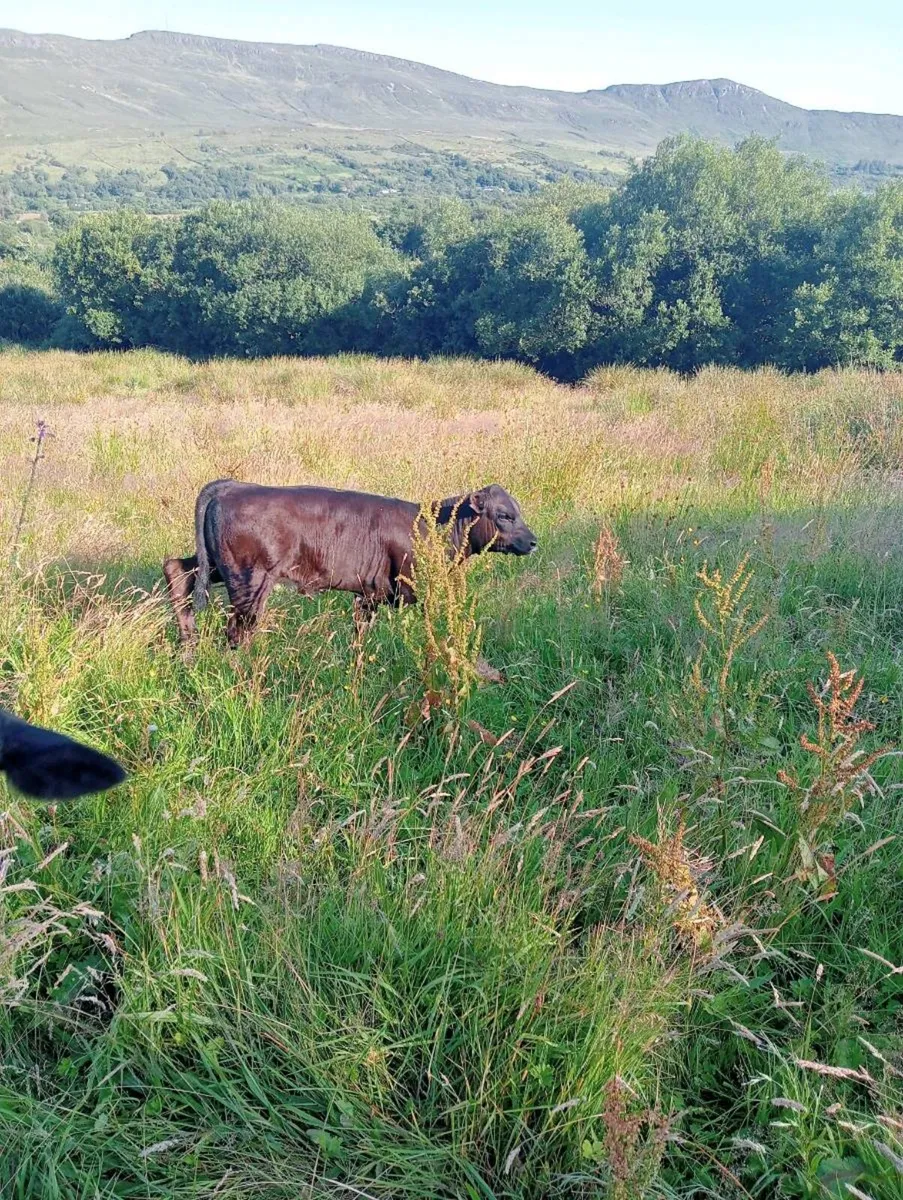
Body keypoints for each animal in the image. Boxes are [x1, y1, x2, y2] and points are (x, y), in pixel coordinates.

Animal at [162, 479, 537, 648]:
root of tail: (231, 485)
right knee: (237, 630)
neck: (434, 524)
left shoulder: (368, 595)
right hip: (248, 580)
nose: (533, 541)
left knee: (176, 571)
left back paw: (188, 646)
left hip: (216, 566)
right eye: (505, 515)